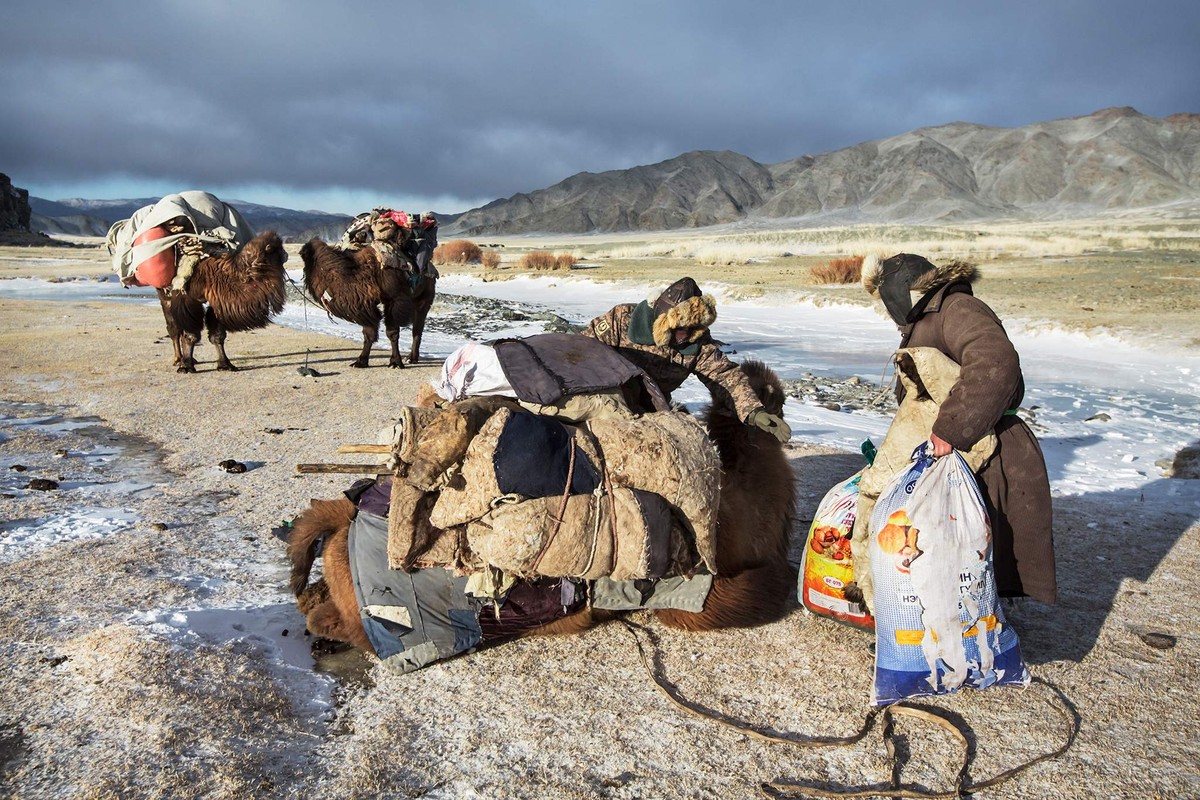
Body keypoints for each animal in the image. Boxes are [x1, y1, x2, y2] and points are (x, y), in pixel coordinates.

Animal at [157, 227, 288, 371]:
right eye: (277, 249)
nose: (286, 255)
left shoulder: (219, 304)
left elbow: (217, 335)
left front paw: (225, 364)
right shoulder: (188, 300)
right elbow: (191, 334)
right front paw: (186, 366)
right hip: (165, 295)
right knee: (174, 328)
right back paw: (178, 359)